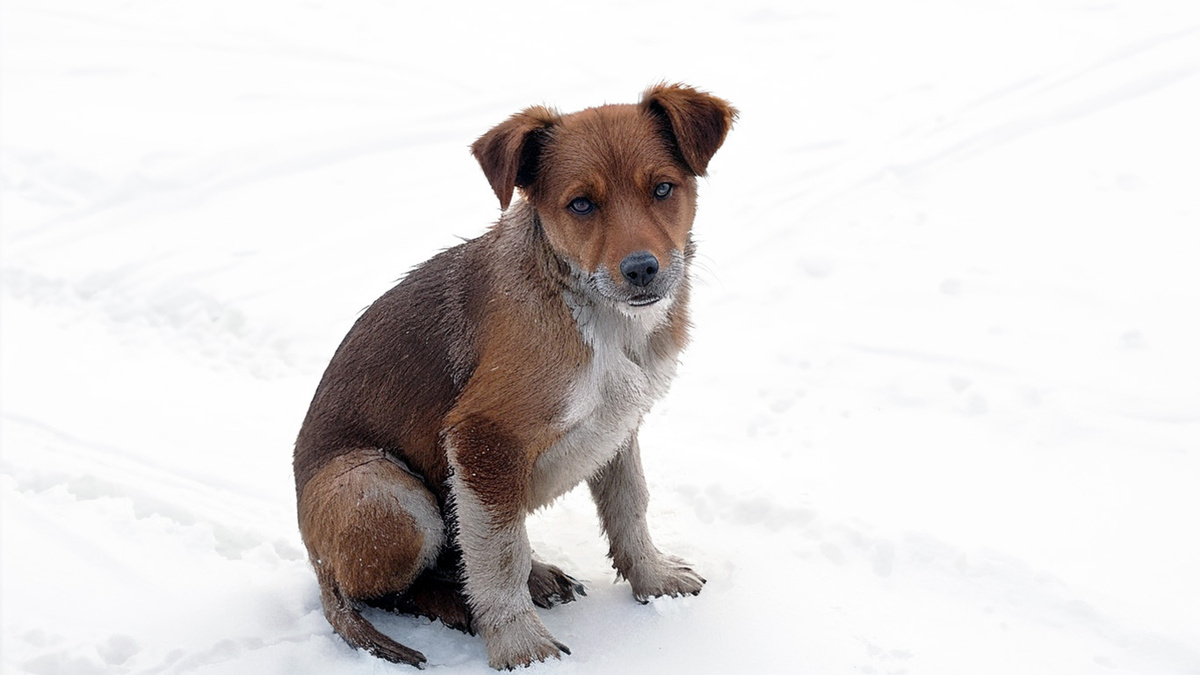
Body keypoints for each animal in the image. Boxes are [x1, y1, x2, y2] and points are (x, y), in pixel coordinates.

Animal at [295, 81, 734, 662]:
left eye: (663, 188)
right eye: (581, 204)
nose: (642, 269)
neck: (598, 316)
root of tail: (316, 564)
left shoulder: (619, 427)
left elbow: (629, 508)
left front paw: (653, 578)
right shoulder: (484, 439)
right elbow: (498, 555)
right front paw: (520, 646)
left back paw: (539, 577)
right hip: (386, 491)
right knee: (392, 588)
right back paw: (462, 606)